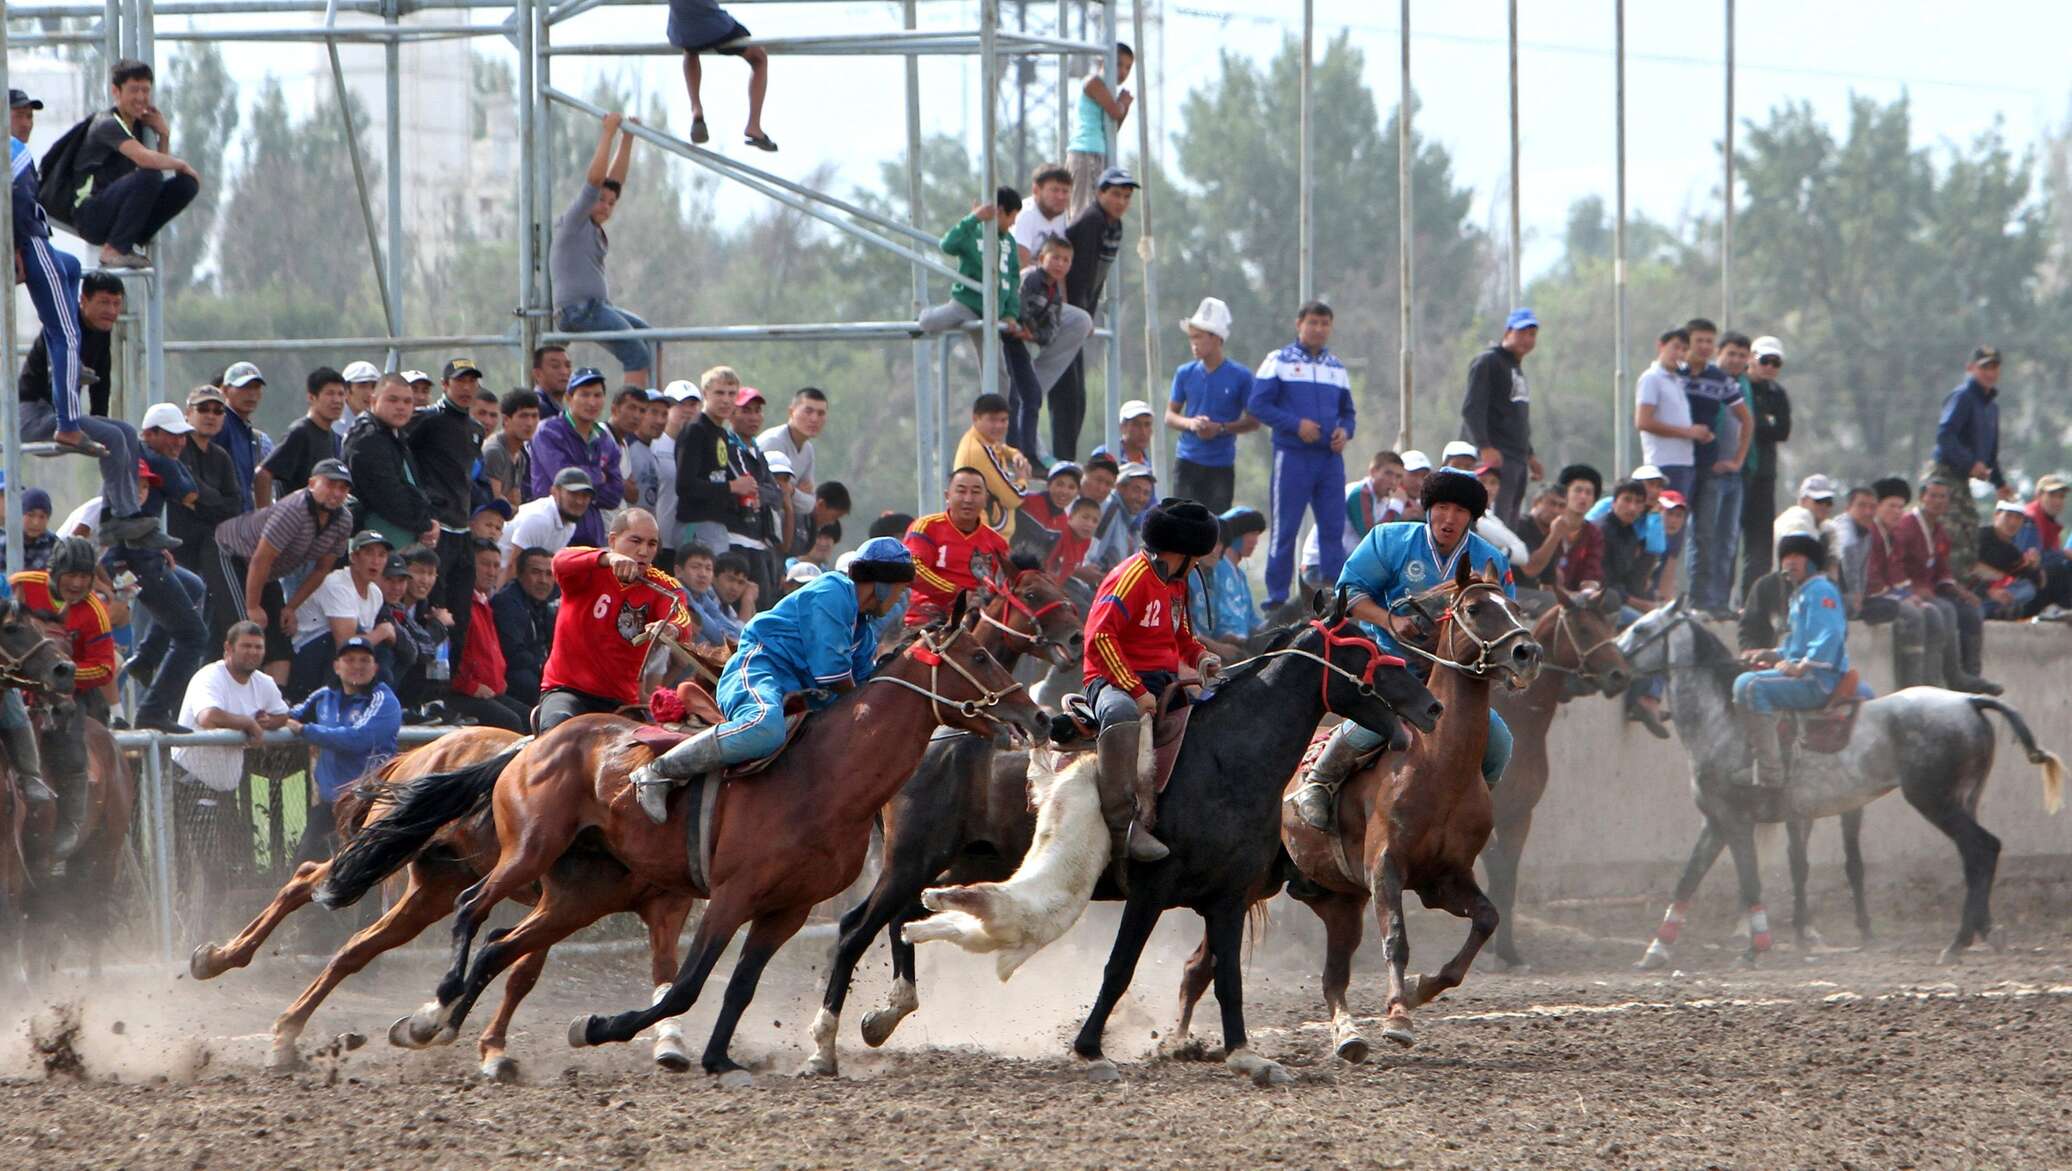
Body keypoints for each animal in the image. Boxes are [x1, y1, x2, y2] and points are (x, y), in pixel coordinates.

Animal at [194, 729, 708, 1077]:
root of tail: (424, 750)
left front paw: (669, 1044)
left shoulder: (662, 908)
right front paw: (488, 1047)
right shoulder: (562, 902)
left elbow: (663, 971)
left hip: (431, 888)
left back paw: (284, 1031)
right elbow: (519, 970)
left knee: (357, 947)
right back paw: (219, 960)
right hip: (390, 849)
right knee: (305, 880)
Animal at [312, 601, 1044, 1086]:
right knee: (471, 910)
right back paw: (435, 1007)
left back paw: (435, 1026)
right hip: (528, 853)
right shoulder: (730, 896)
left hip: (578, 894)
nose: (1038, 716)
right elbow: (686, 986)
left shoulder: (786, 909)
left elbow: (738, 986)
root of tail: (529, 746)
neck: (822, 776)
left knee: (500, 947)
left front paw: (720, 1056)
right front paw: (597, 1026)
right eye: (980, 655)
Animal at [1491, 584, 1632, 969]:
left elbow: (1506, 881)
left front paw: (1507, 952)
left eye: (1609, 625)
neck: (1518, 720)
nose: (1620, 676)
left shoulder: (1518, 815)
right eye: (1583, 630)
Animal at [1624, 596, 2063, 961]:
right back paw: (1980, 932)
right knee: (1975, 856)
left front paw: (1756, 948)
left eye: (1641, 629)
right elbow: (1688, 879)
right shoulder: (1715, 822)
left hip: (1935, 800)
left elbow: (1749, 881)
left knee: (1982, 849)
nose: (1612, 664)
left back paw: (1957, 942)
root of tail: (1968, 701)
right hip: (1964, 799)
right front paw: (1656, 950)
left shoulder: (1736, 820)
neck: (1724, 720)